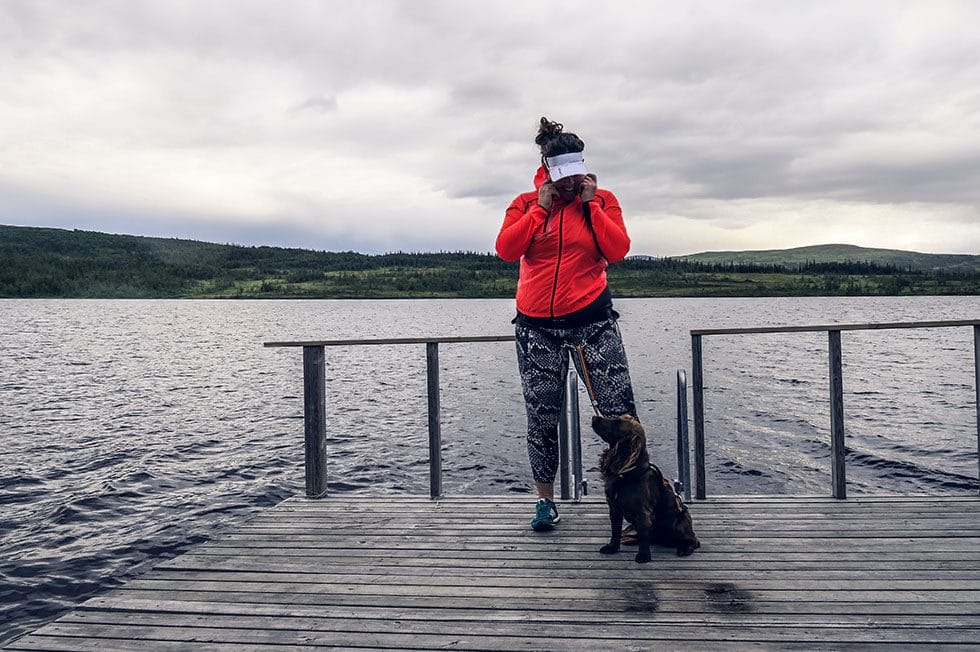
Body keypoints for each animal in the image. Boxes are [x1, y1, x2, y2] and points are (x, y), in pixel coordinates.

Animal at [592, 416, 700, 564]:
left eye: (617, 422)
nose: (594, 417)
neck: (626, 476)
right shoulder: (614, 510)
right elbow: (615, 532)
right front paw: (612, 547)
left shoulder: (643, 513)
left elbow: (644, 535)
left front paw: (643, 555)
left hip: (678, 523)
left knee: (693, 541)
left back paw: (684, 549)